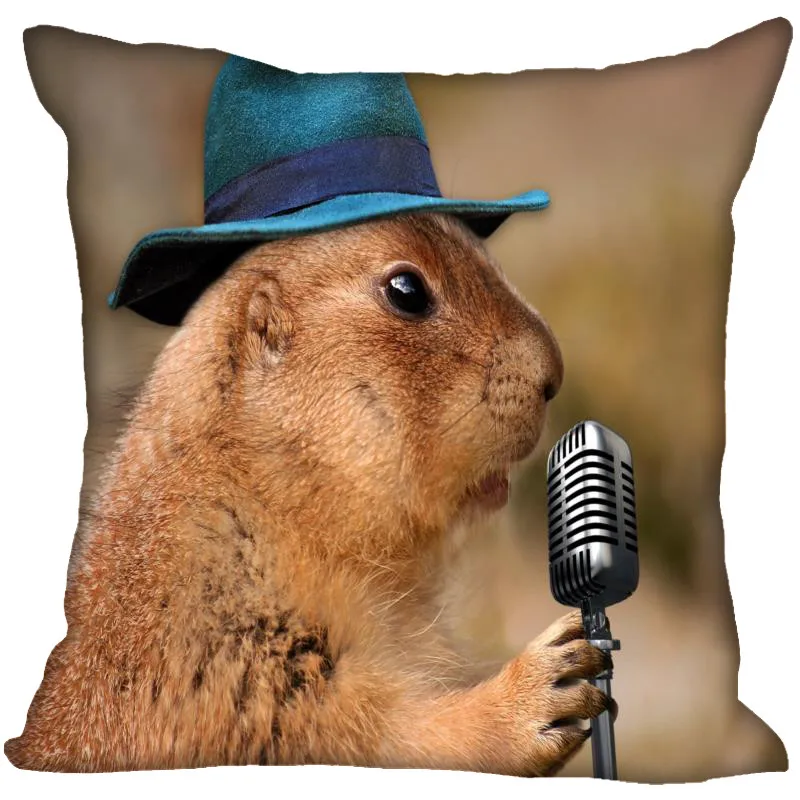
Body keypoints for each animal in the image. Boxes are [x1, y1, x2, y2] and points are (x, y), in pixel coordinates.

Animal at [5, 212, 612, 775]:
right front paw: (547, 681)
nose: (555, 371)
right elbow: (367, 733)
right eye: (407, 290)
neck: (259, 502)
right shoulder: (232, 668)